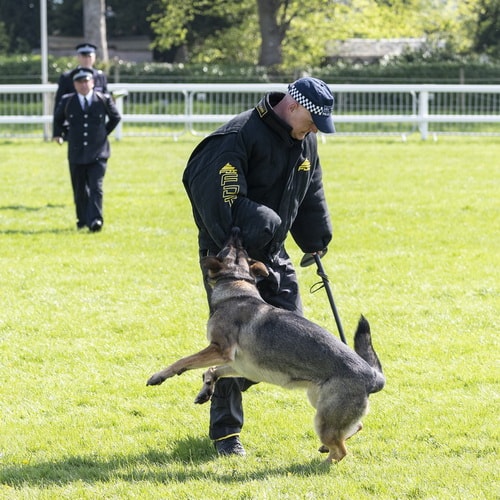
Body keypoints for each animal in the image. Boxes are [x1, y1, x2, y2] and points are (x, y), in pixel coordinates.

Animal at [146, 229, 384, 462]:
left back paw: (317, 463)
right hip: (319, 403)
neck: (237, 285)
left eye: (230, 247)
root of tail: (372, 376)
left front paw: (159, 376)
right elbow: (212, 371)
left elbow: (183, 360)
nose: (236, 231)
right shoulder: (239, 365)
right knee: (355, 427)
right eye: (238, 247)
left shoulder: (220, 350)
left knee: (341, 450)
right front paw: (206, 390)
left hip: (324, 419)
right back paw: (326, 448)